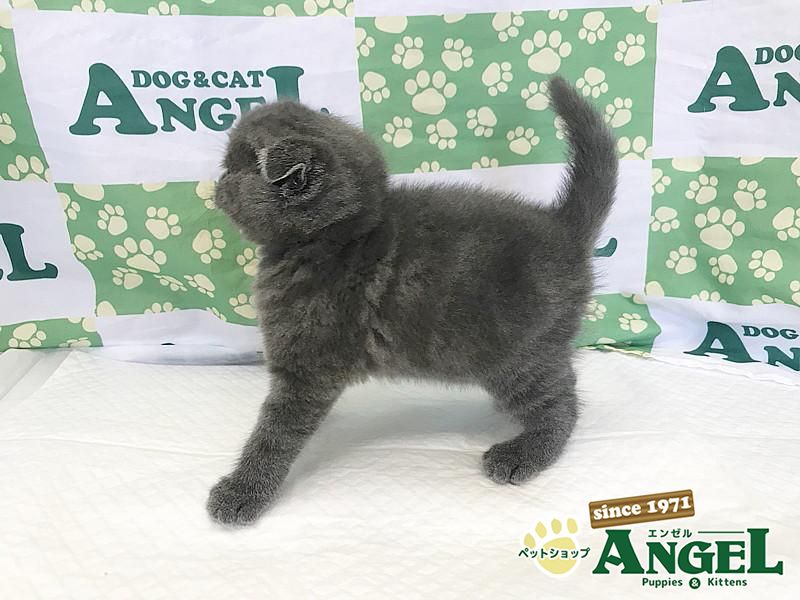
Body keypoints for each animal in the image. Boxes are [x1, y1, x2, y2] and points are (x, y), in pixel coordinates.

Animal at [208, 76, 618, 526]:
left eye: (232, 167)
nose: (216, 184)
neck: (336, 241)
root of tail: (564, 229)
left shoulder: (308, 368)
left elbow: (274, 434)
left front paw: (242, 492)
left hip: (520, 355)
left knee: (561, 404)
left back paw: (522, 453)